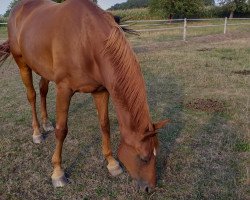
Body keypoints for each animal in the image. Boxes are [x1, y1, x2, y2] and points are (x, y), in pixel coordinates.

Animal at [0, 0, 169, 191]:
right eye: (144, 158)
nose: (149, 188)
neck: (86, 40)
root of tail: (19, 8)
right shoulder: (64, 89)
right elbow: (62, 130)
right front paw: (58, 173)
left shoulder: (100, 90)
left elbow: (104, 125)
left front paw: (112, 163)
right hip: (22, 63)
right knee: (32, 95)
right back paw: (37, 133)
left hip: (45, 69)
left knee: (43, 90)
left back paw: (46, 124)